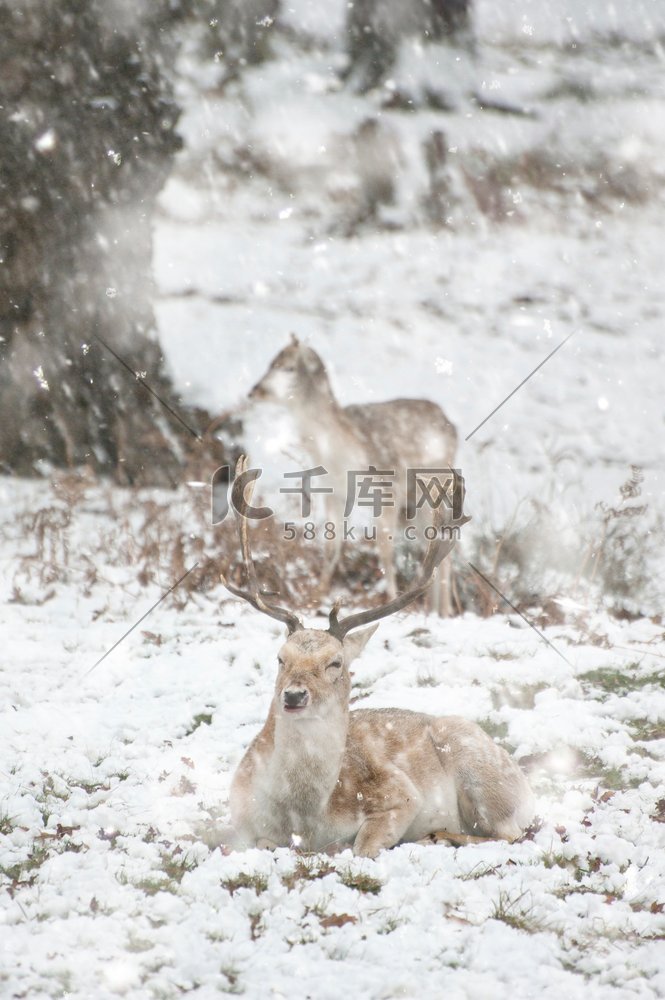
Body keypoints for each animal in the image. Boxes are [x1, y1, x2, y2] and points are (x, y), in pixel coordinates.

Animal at [210, 336, 460, 612]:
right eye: (270, 362)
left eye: (287, 367)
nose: (255, 391)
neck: (340, 454)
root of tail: (453, 428)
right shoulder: (333, 492)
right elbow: (332, 544)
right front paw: (317, 594)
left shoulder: (388, 488)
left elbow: (384, 548)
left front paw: (392, 599)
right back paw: (434, 608)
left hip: (435, 487)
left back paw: (445, 610)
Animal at [223, 460, 536, 860]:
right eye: (280, 658)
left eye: (335, 663)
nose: (293, 695)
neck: (303, 819)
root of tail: (524, 783)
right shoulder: (239, 818)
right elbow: (254, 844)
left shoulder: (400, 793)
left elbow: (362, 846)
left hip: (481, 772)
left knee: (512, 833)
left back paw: (438, 836)